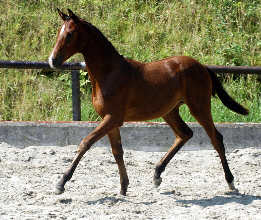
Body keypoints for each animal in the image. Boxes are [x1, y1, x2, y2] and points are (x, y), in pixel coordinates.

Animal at [48, 8, 248, 195]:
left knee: (216, 139)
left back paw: (230, 182)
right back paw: (157, 174)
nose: (52, 61)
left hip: (199, 107)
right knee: (184, 134)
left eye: (70, 34)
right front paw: (123, 187)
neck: (109, 73)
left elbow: (86, 143)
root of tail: (202, 66)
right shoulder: (111, 120)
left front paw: (61, 183)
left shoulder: (113, 118)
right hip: (169, 111)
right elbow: (117, 151)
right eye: (58, 32)